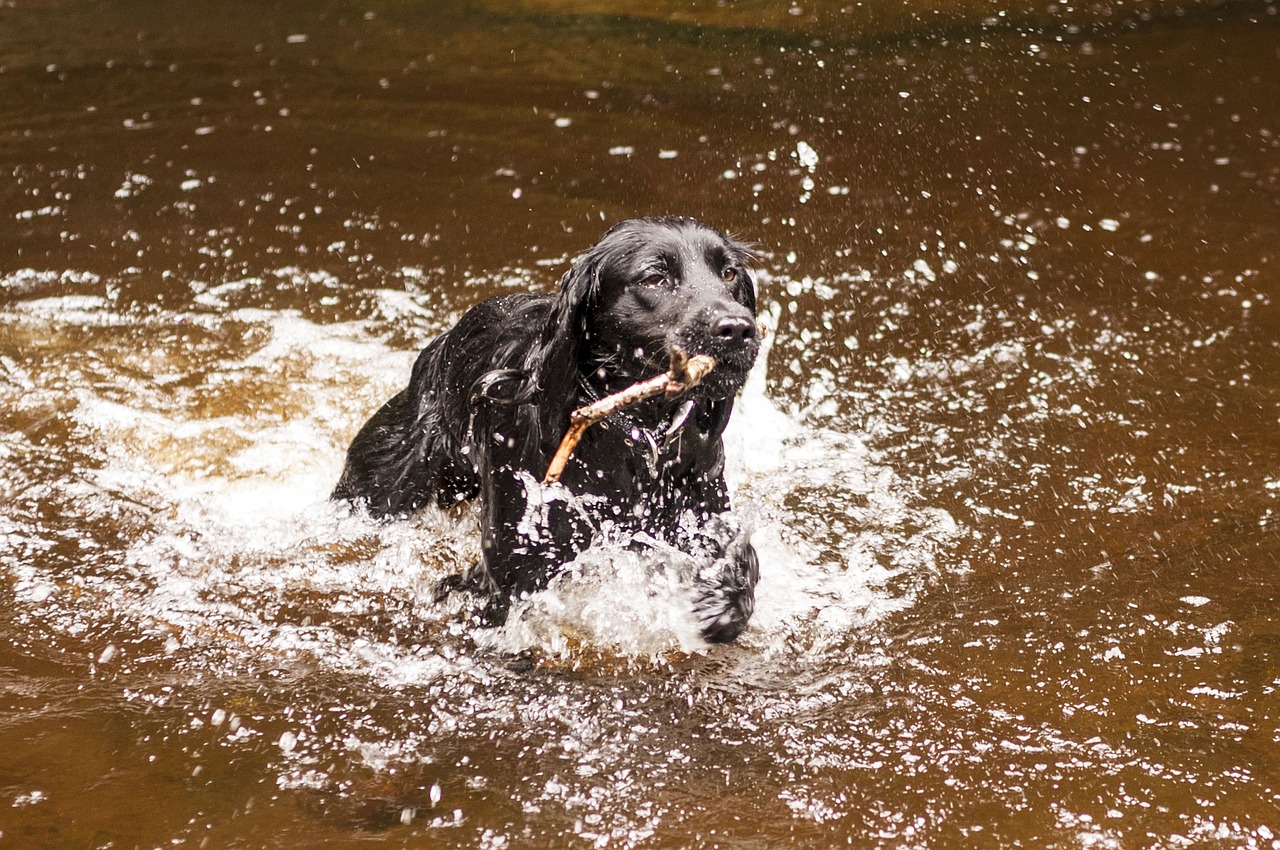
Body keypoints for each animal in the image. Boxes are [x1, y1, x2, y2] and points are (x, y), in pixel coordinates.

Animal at [335, 216, 762, 640]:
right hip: (381, 486)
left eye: (729, 273)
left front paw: (719, 601)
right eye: (654, 277)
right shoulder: (513, 573)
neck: (637, 438)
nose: (738, 328)